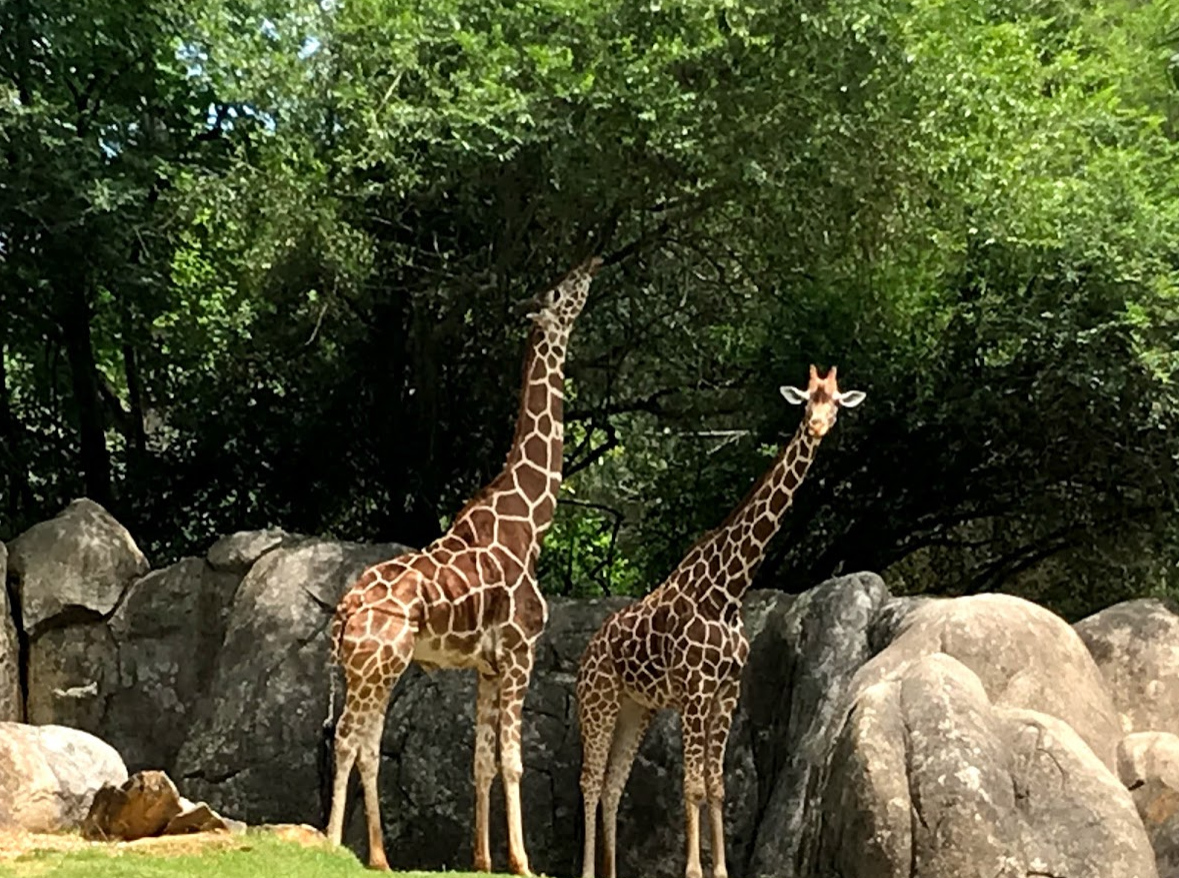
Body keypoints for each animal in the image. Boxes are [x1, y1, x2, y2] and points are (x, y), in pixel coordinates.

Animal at [325, 255, 603, 874]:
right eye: (560, 290)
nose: (593, 263)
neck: (530, 522)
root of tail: (345, 609)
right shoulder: (521, 654)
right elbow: (513, 762)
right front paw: (522, 861)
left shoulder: (486, 667)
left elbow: (479, 761)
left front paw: (482, 858)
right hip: (378, 666)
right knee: (349, 738)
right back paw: (331, 844)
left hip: (372, 669)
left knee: (366, 744)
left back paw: (376, 854)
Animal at [575, 365, 865, 878]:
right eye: (806, 399)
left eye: (835, 402)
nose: (817, 427)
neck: (728, 589)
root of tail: (589, 650)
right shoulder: (695, 689)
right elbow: (692, 785)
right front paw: (693, 870)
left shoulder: (726, 691)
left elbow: (717, 784)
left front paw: (721, 870)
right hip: (600, 700)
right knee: (590, 781)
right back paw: (589, 872)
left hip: (636, 707)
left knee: (612, 784)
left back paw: (611, 872)